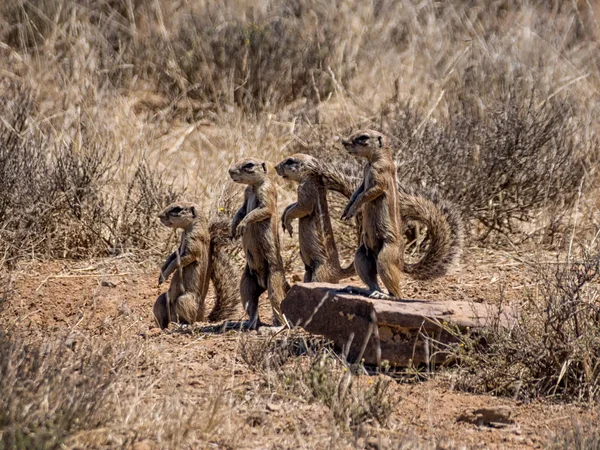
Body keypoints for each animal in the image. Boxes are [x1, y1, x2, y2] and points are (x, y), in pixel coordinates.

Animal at [229, 156, 290, 328]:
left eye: (249, 165)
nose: (230, 171)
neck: (254, 186)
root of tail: (262, 284)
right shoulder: (246, 194)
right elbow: (241, 210)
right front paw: (233, 228)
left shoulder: (267, 191)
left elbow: (261, 210)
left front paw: (242, 225)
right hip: (246, 285)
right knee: (252, 304)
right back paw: (249, 324)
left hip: (274, 283)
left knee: (278, 304)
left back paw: (277, 327)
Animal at [276, 154, 356, 282]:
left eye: (290, 161)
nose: (275, 167)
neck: (311, 176)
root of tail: (337, 272)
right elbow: (293, 205)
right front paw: (284, 214)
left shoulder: (305, 190)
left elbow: (302, 208)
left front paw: (287, 220)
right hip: (308, 271)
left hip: (319, 274)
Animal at [340, 130, 462, 298]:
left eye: (363, 137)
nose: (344, 142)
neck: (373, 161)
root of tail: (401, 261)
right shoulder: (364, 178)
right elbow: (356, 193)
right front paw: (347, 209)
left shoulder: (380, 176)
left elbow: (366, 194)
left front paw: (352, 210)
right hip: (362, 256)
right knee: (374, 282)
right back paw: (361, 289)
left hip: (385, 258)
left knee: (396, 294)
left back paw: (383, 295)